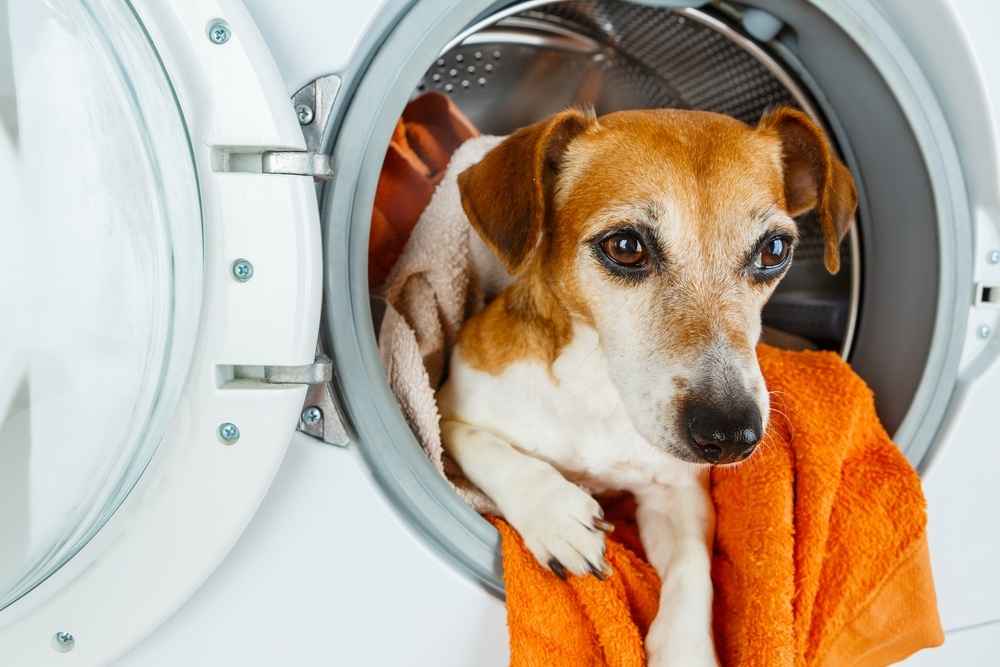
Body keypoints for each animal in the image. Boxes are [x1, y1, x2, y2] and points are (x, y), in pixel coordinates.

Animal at [438, 107, 860, 664]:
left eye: (774, 249)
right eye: (625, 246)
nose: (731, 435)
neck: (600, 385)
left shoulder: (676, 493)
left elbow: (692, 571)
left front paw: (686, 649)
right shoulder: (446, 408)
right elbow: (483, 445)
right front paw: (557, 515)